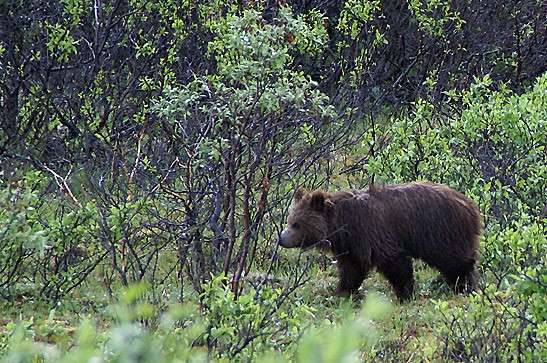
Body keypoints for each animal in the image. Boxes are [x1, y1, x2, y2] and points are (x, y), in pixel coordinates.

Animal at [280, 182, 482, 302]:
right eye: (289, 220)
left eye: (297, 224)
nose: (281, 238)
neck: (342, 225)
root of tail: (470, 205)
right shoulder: (352, 245)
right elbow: (352, 270)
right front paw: (343, 292)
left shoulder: (372, 230)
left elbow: (394, 262)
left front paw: (405, 294)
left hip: (439, 232)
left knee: (455, 260)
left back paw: (464, 285)